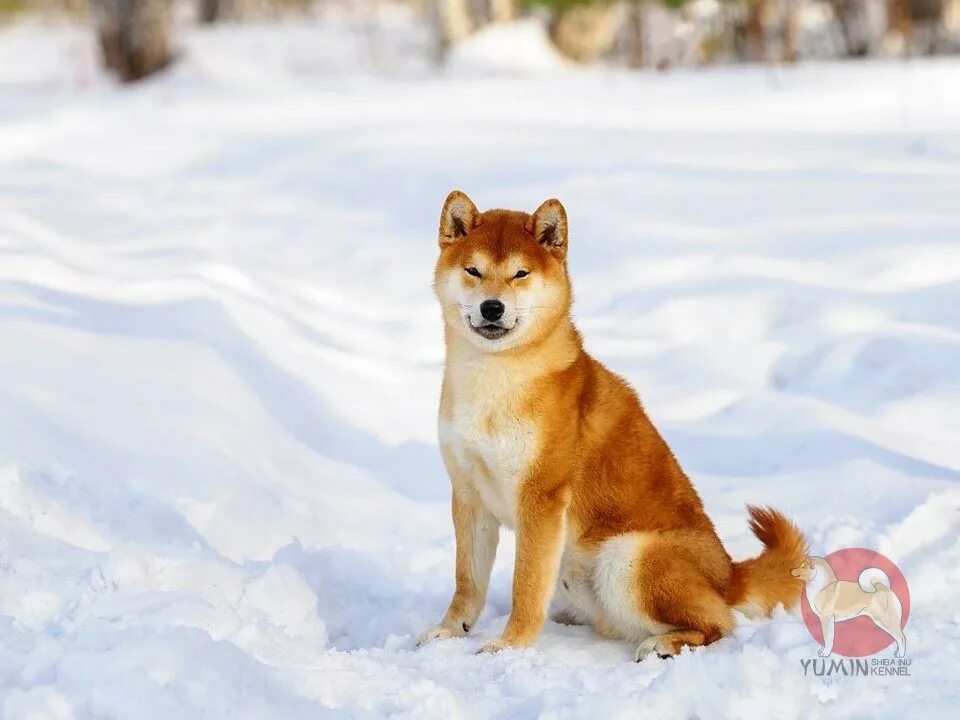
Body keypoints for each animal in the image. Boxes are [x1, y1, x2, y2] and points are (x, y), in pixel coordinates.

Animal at [424, 190, 808, 660]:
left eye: (520, 273)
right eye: (473, 270)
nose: (492, 307)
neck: (493, 382)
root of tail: (729, 576)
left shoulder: (541, 499)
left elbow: (525, 587)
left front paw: (510, 645)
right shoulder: (469, 493)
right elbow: (468, 582)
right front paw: (450, 631)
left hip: (628, 557)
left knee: (720, 623)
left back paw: (664, 644)